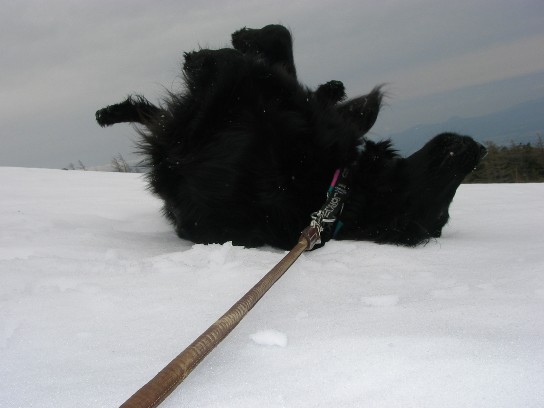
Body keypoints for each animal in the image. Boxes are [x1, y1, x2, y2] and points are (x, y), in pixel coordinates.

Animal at [95, 25, 486, 250]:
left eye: (440, 216)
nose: (478, 148)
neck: (338, 191)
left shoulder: (241, 98)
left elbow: (260, 52)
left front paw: (227, 45)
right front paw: (335, 89)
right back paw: (109, 113)